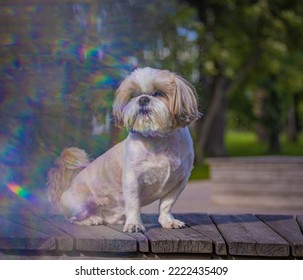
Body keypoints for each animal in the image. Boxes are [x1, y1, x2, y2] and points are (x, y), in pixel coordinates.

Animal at [47, 67, 200, 232]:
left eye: (159, 93)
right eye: (133, 96)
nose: (143, 99)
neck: (158, 138)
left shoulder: (179, 181)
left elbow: (166, 204)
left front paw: (168, 221)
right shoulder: (132, 179)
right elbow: (133, 204)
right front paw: (134, 224)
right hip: (81, 204)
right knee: (73, 219)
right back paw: (92, 219)